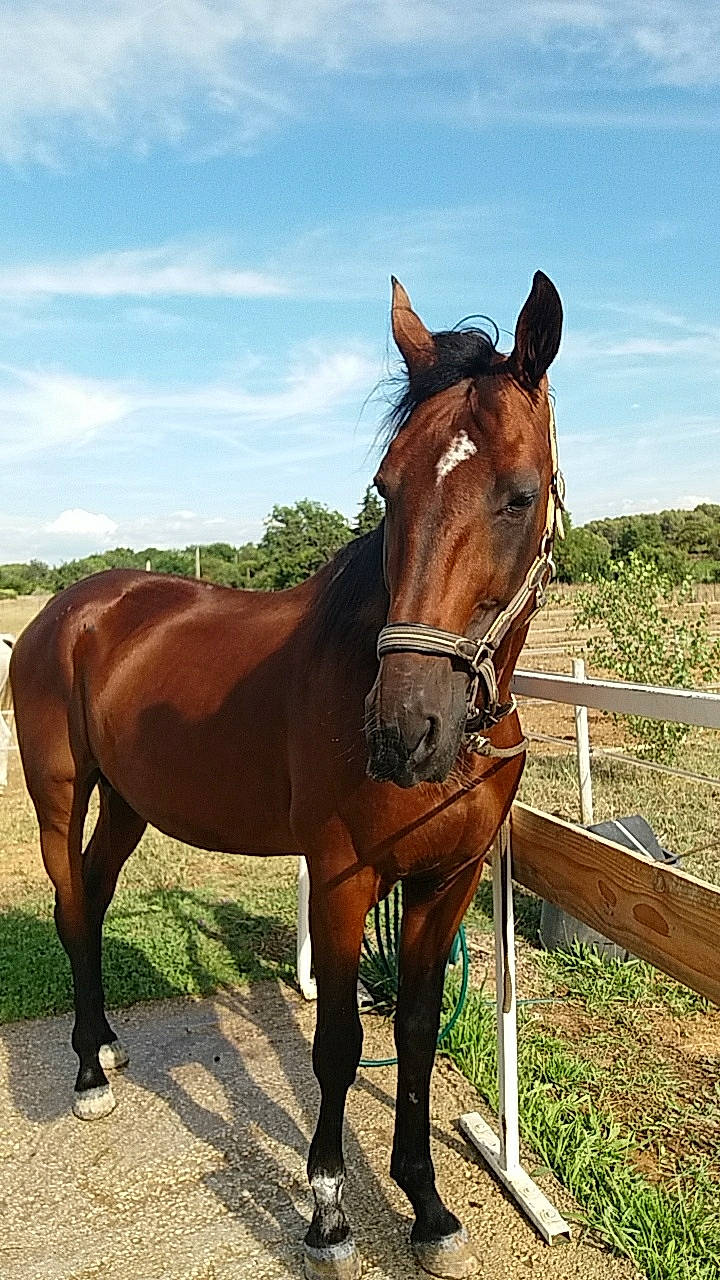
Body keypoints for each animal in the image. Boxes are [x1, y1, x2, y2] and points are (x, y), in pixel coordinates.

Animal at [10, 271, 563, 1280]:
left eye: (519, 495)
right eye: (387, 486)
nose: (405, 729)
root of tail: (73, 607)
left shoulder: (447, 882)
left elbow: (415, 1033)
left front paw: (427, 1207)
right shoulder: (344, 878)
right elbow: (341, 1042)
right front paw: (330, 1212)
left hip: (131, 804)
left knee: (96, 899)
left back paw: (106, 1044)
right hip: (58, 797)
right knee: (72, 908)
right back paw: (85, 1072)